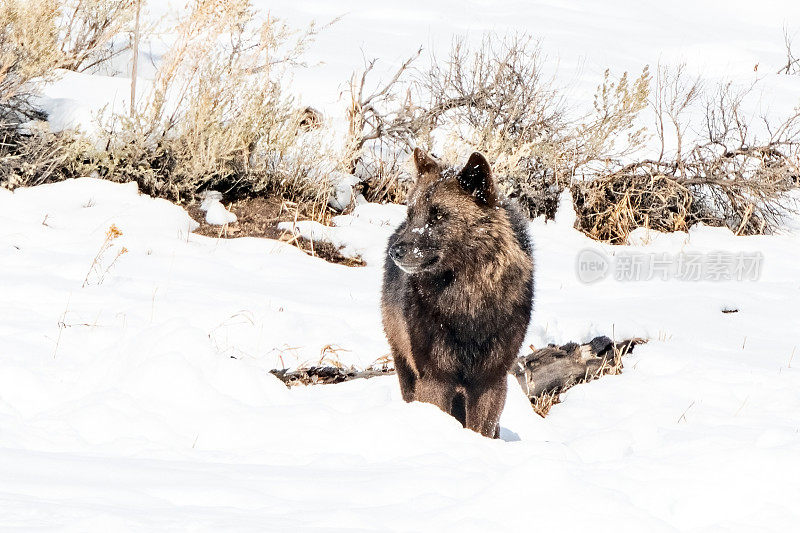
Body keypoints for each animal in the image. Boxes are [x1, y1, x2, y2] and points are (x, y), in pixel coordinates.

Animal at [380, 147, 532, 436]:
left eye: (438, 215)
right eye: (411, 213)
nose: (395, 250)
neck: (468, 304)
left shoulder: (491, 381)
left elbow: (481, 429)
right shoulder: (435, 377)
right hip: (404, 366)